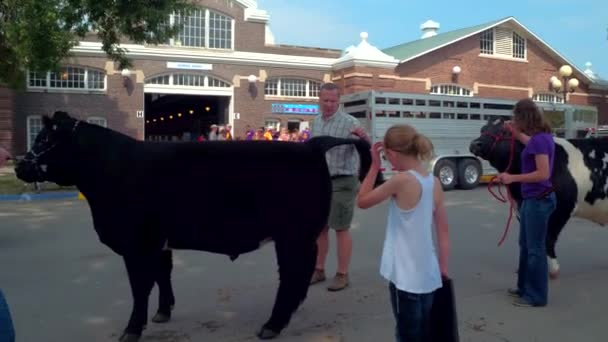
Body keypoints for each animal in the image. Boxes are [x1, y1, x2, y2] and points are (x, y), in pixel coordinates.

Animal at [15, 111, 380, 340]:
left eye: (45, 139)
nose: (19, 166)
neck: (111, 170)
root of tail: (310, 144)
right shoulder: (159, 241)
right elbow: (162, 275)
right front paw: (163, 312)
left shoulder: (136, 244)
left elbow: (139, 288)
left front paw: (132, 330)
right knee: (299, 277)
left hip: (293, 236)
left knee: (291, 276)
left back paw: (272, 325)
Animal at [470, 118, 608, 278]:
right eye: (482, 129)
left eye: (504, 131)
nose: (475, 144)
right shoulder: (521, 209)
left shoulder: (562, 208)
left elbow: (547, 238)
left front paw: (552, 269)